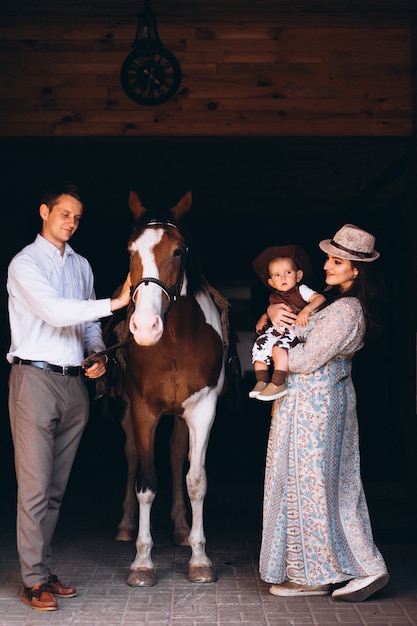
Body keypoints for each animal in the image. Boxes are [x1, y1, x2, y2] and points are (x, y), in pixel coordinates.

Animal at [113, 189, 228, 584]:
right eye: (130, 250)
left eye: (178, 251)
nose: (146, 327)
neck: (175, 342)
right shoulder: (143, 409)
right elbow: (146, 481)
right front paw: (142, 561)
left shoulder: (203, 409)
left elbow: (196, 479)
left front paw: (200, 557)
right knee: (132, 456)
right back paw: (125, 526)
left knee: (178, 455)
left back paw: (180, 528)